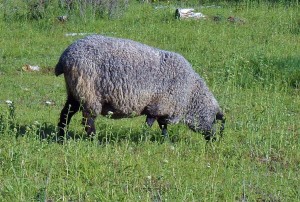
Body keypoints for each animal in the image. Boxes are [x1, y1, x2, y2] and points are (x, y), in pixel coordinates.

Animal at [54, 34, 225, 140]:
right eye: (215, 121)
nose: (213, 140)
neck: (190, 95)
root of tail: (65, 57)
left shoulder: (162, 108)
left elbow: (162, 126)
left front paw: (165, 141)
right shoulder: (158, 106)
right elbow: (150, 125)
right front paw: (145, 139)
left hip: (74, 91)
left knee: (66, 114)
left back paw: (62, 136)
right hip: (89, 92)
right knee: (88, 120)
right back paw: (93, 139)